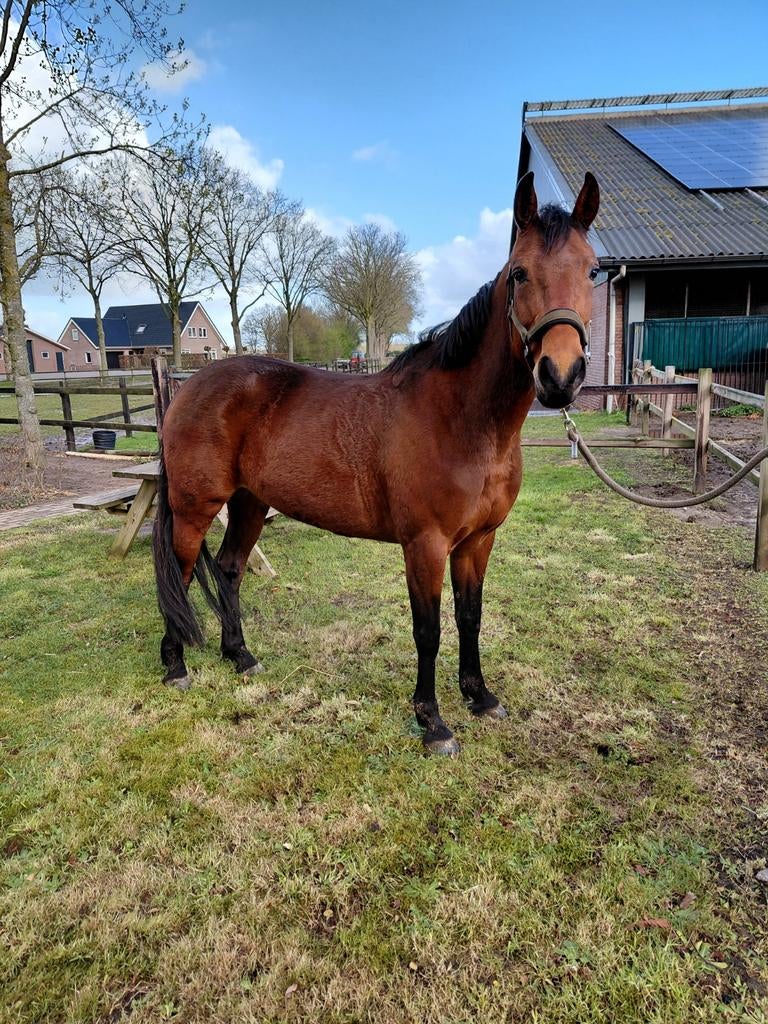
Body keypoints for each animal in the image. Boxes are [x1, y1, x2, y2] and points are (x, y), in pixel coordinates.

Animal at [152, 170, 601, 755]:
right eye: (521, 272)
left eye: (593, 270)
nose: (560, 376)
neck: (462, 420)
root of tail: (187, 387)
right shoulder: (425, 545)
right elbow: (428, 631)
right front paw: (433, 722)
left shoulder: (478, 542)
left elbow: (470, 618)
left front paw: (480, 697)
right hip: (194, 507)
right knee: (178, 575)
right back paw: (175, 666)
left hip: (249, 504)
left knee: (228, 570)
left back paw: (240, 657)